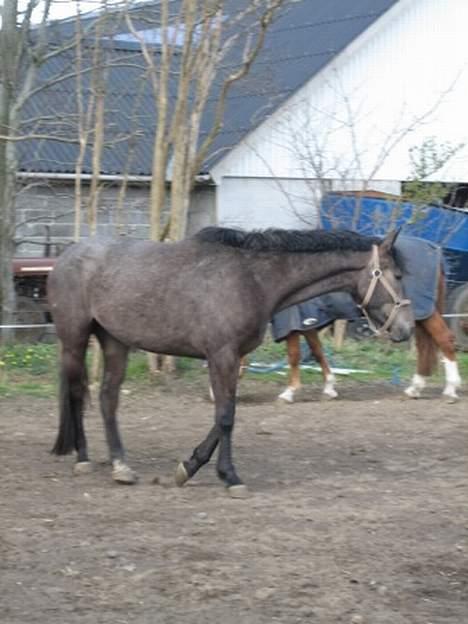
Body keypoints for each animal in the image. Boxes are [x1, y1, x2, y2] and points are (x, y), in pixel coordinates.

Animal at [48, 227, 414, 494]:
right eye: (396, 275)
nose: (406, 329)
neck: (252, 278)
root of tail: (67, 254)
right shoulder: (221, 355)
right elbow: (225, 417)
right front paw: (230, 476)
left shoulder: (230, 358)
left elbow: (226, 414)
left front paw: (189, 467)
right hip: (75, 340)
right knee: (77, 393)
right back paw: (83, 458)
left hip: (114, 342)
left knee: (108, 398)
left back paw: (120, 466)